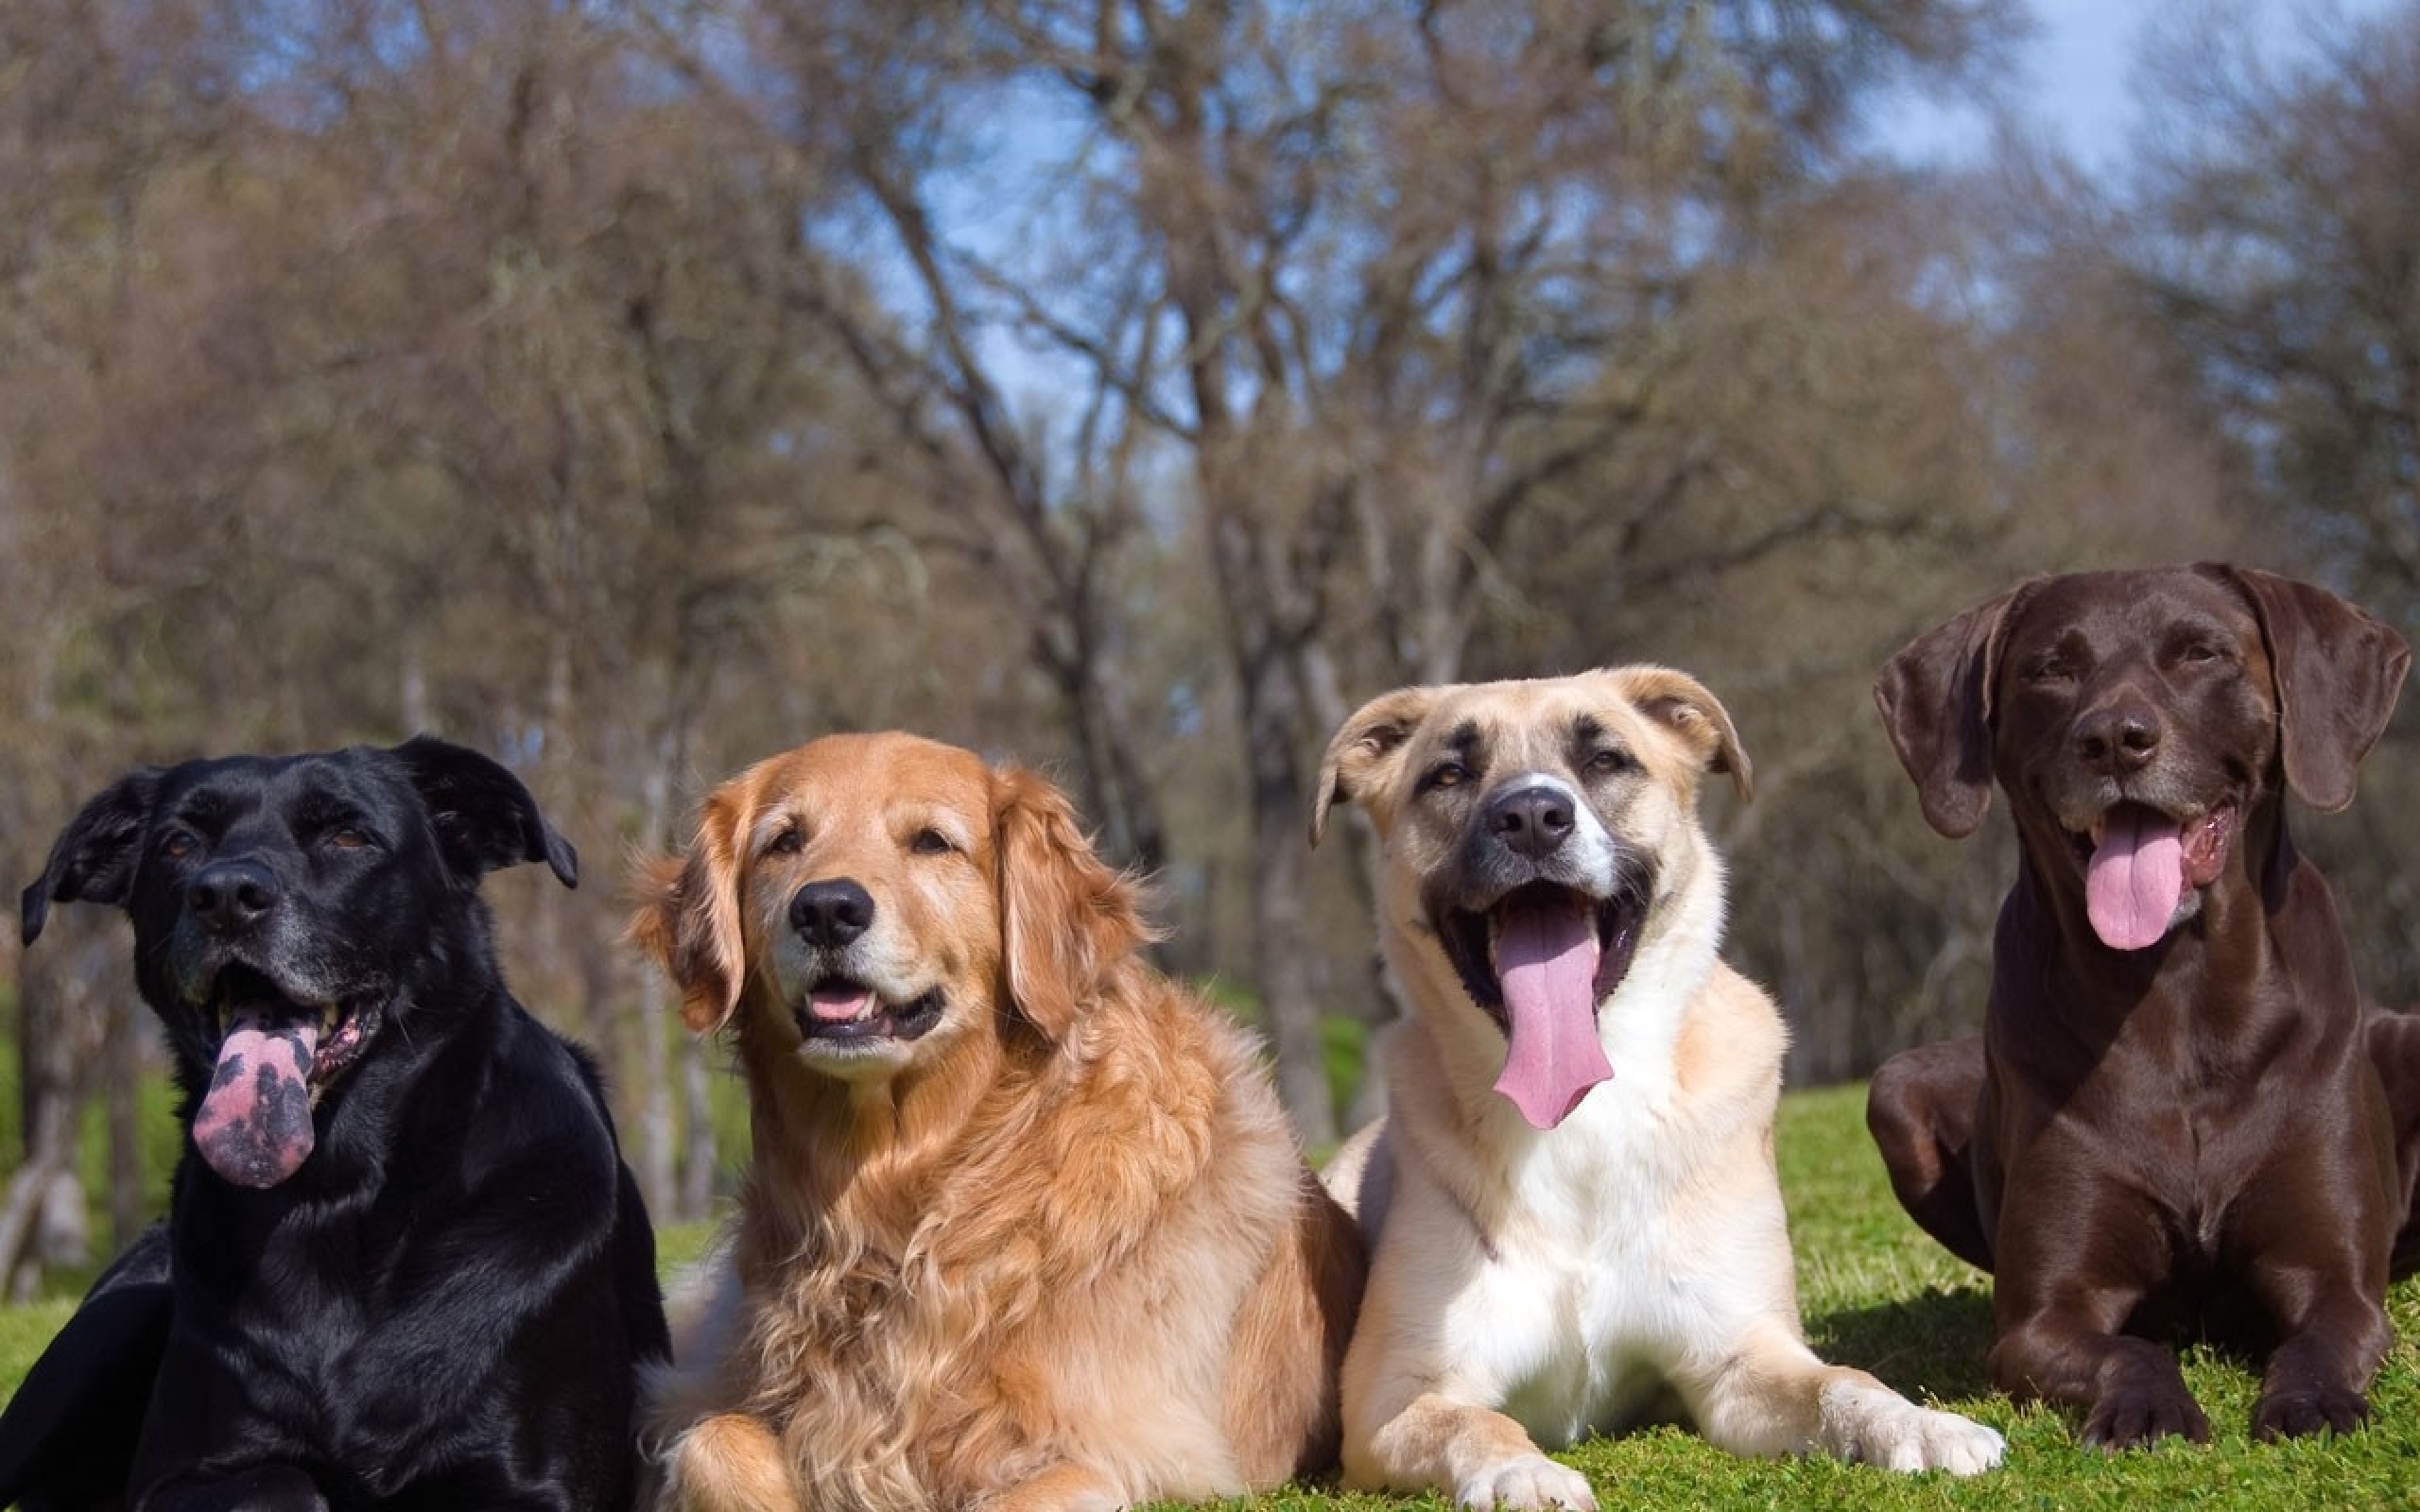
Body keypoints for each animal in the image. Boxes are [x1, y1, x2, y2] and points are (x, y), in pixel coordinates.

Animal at [0, 735, 667, 1500]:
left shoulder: (534, 1483)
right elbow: (281, 1484)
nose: (225, 897)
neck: (336, 1194)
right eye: (178, 844)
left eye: (348, 836)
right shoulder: (178, 1476)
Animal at [633, 735, 1364, 1509]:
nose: (827, 908)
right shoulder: (705, 1398)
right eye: (785, 842)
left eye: (932, 842)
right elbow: (715, 1442)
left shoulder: (1138, 1453)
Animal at [1316, 672, 1994, 1509]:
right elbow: (1473, 1422)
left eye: (1606, 758)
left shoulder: (1739, 1354)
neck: (1580, 1113)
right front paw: (1522, 1473)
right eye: (1448, 774)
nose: (1531, 818)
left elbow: (1842, 1382)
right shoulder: (1396, 1390)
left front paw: (1924, 1425)